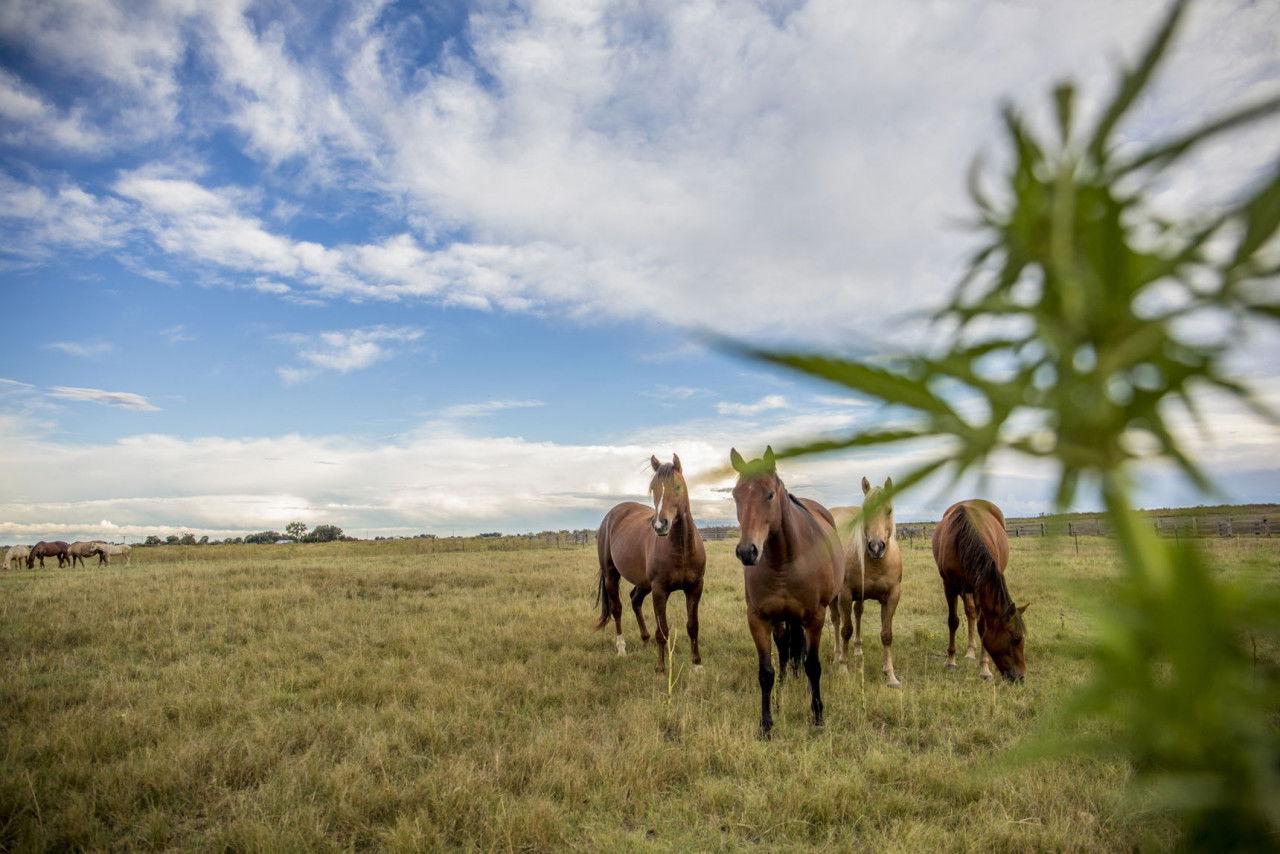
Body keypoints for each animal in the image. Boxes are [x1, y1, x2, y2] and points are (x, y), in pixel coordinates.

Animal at [593, 450, 706, 676]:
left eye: (677, 486)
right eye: (653, 488)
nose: (660, 525)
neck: (681, 549)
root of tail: (612, 514)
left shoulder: (695, 587)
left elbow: (693, 626)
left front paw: (697, 665)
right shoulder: (659, 590)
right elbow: (662, 631)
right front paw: (661, 668)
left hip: (643, 583)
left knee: (635, 600)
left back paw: (645, 640)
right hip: (612, 575)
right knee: (617, 609)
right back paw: (622, 649)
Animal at [737, 448, 844, 737]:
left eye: (769, 494)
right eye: (736, 495)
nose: (747, 551)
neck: (784, 561)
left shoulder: (816, 617)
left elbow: (813, 665)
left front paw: (818, 717)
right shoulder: (758, 618)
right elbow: (767, 671)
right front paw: (766, 723)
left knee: (802, 651)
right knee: (787, 649)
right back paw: (785, 687)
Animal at [824, 478, 906, 686]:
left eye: (889, 510)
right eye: (865, 510)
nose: (876, 547)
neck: (876, 563)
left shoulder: (892, 596)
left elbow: (886, 634)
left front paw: (890, 675)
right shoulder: (845, 594)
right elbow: (846, 630)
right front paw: (843, 669)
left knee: (858, 613)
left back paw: (858, 650)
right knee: (836, 621)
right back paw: (837, 654)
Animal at [931, 496, 1029, 686]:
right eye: (1015, 638)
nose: (1021, 677)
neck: (962, 539)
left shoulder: (979, 588)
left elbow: (983, 627)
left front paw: (985, 668)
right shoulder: (949, 586)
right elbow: (953, 621)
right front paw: (950, 660)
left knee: (974, 615)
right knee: (970, 613)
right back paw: (970, 652)